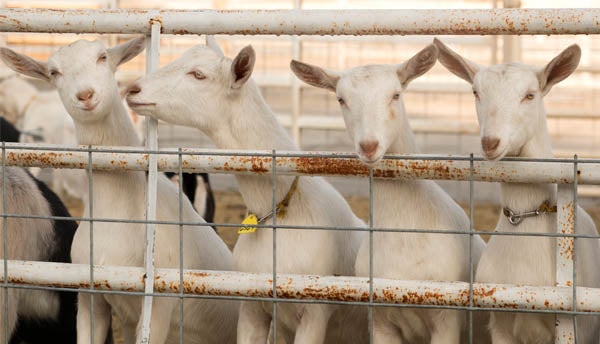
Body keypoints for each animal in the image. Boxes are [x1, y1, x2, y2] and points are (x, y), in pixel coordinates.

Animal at [292, 44, 490, 342]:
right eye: (341, 99)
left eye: (396, 94)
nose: (369, 146)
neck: (405, 229)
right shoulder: (381, 320)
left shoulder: (446, 319)